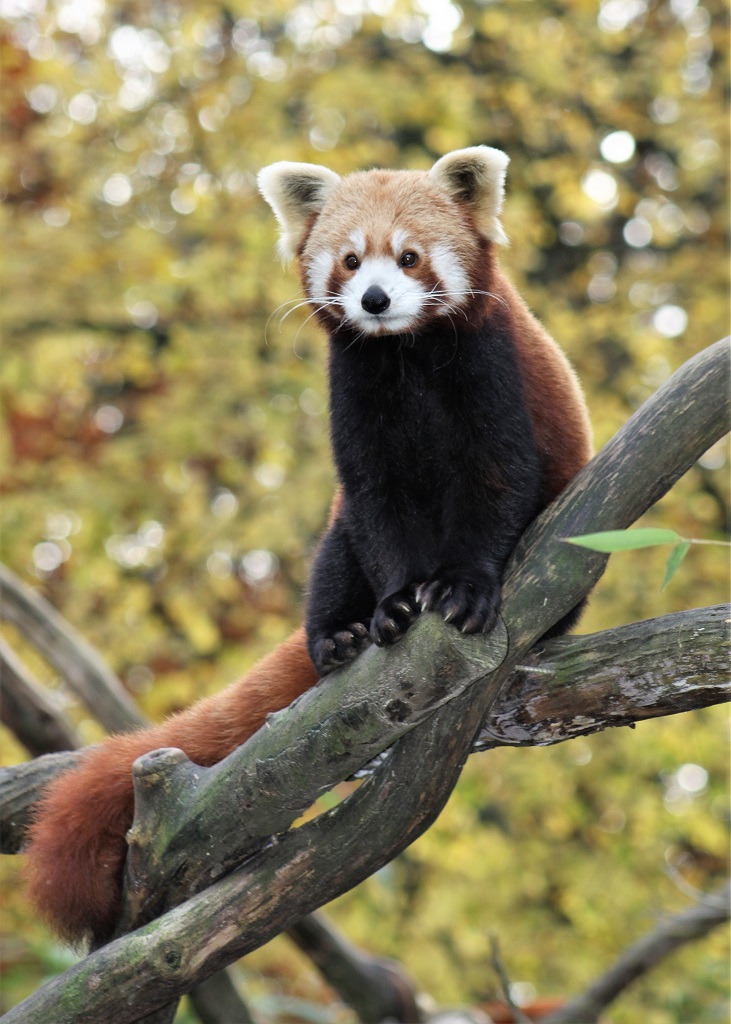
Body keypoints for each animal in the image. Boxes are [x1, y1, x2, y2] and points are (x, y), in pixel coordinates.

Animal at [22, 148, 593, 946]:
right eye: (350, 260)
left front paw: (462, 590)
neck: (404, 358)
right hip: (334, 541)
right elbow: (379, 512)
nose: (375, 300)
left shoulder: (491, 374)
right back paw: (340, 635)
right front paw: (394, 608)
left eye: (409, 257)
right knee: (334, 560)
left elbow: (497, 486)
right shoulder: (357, 405)